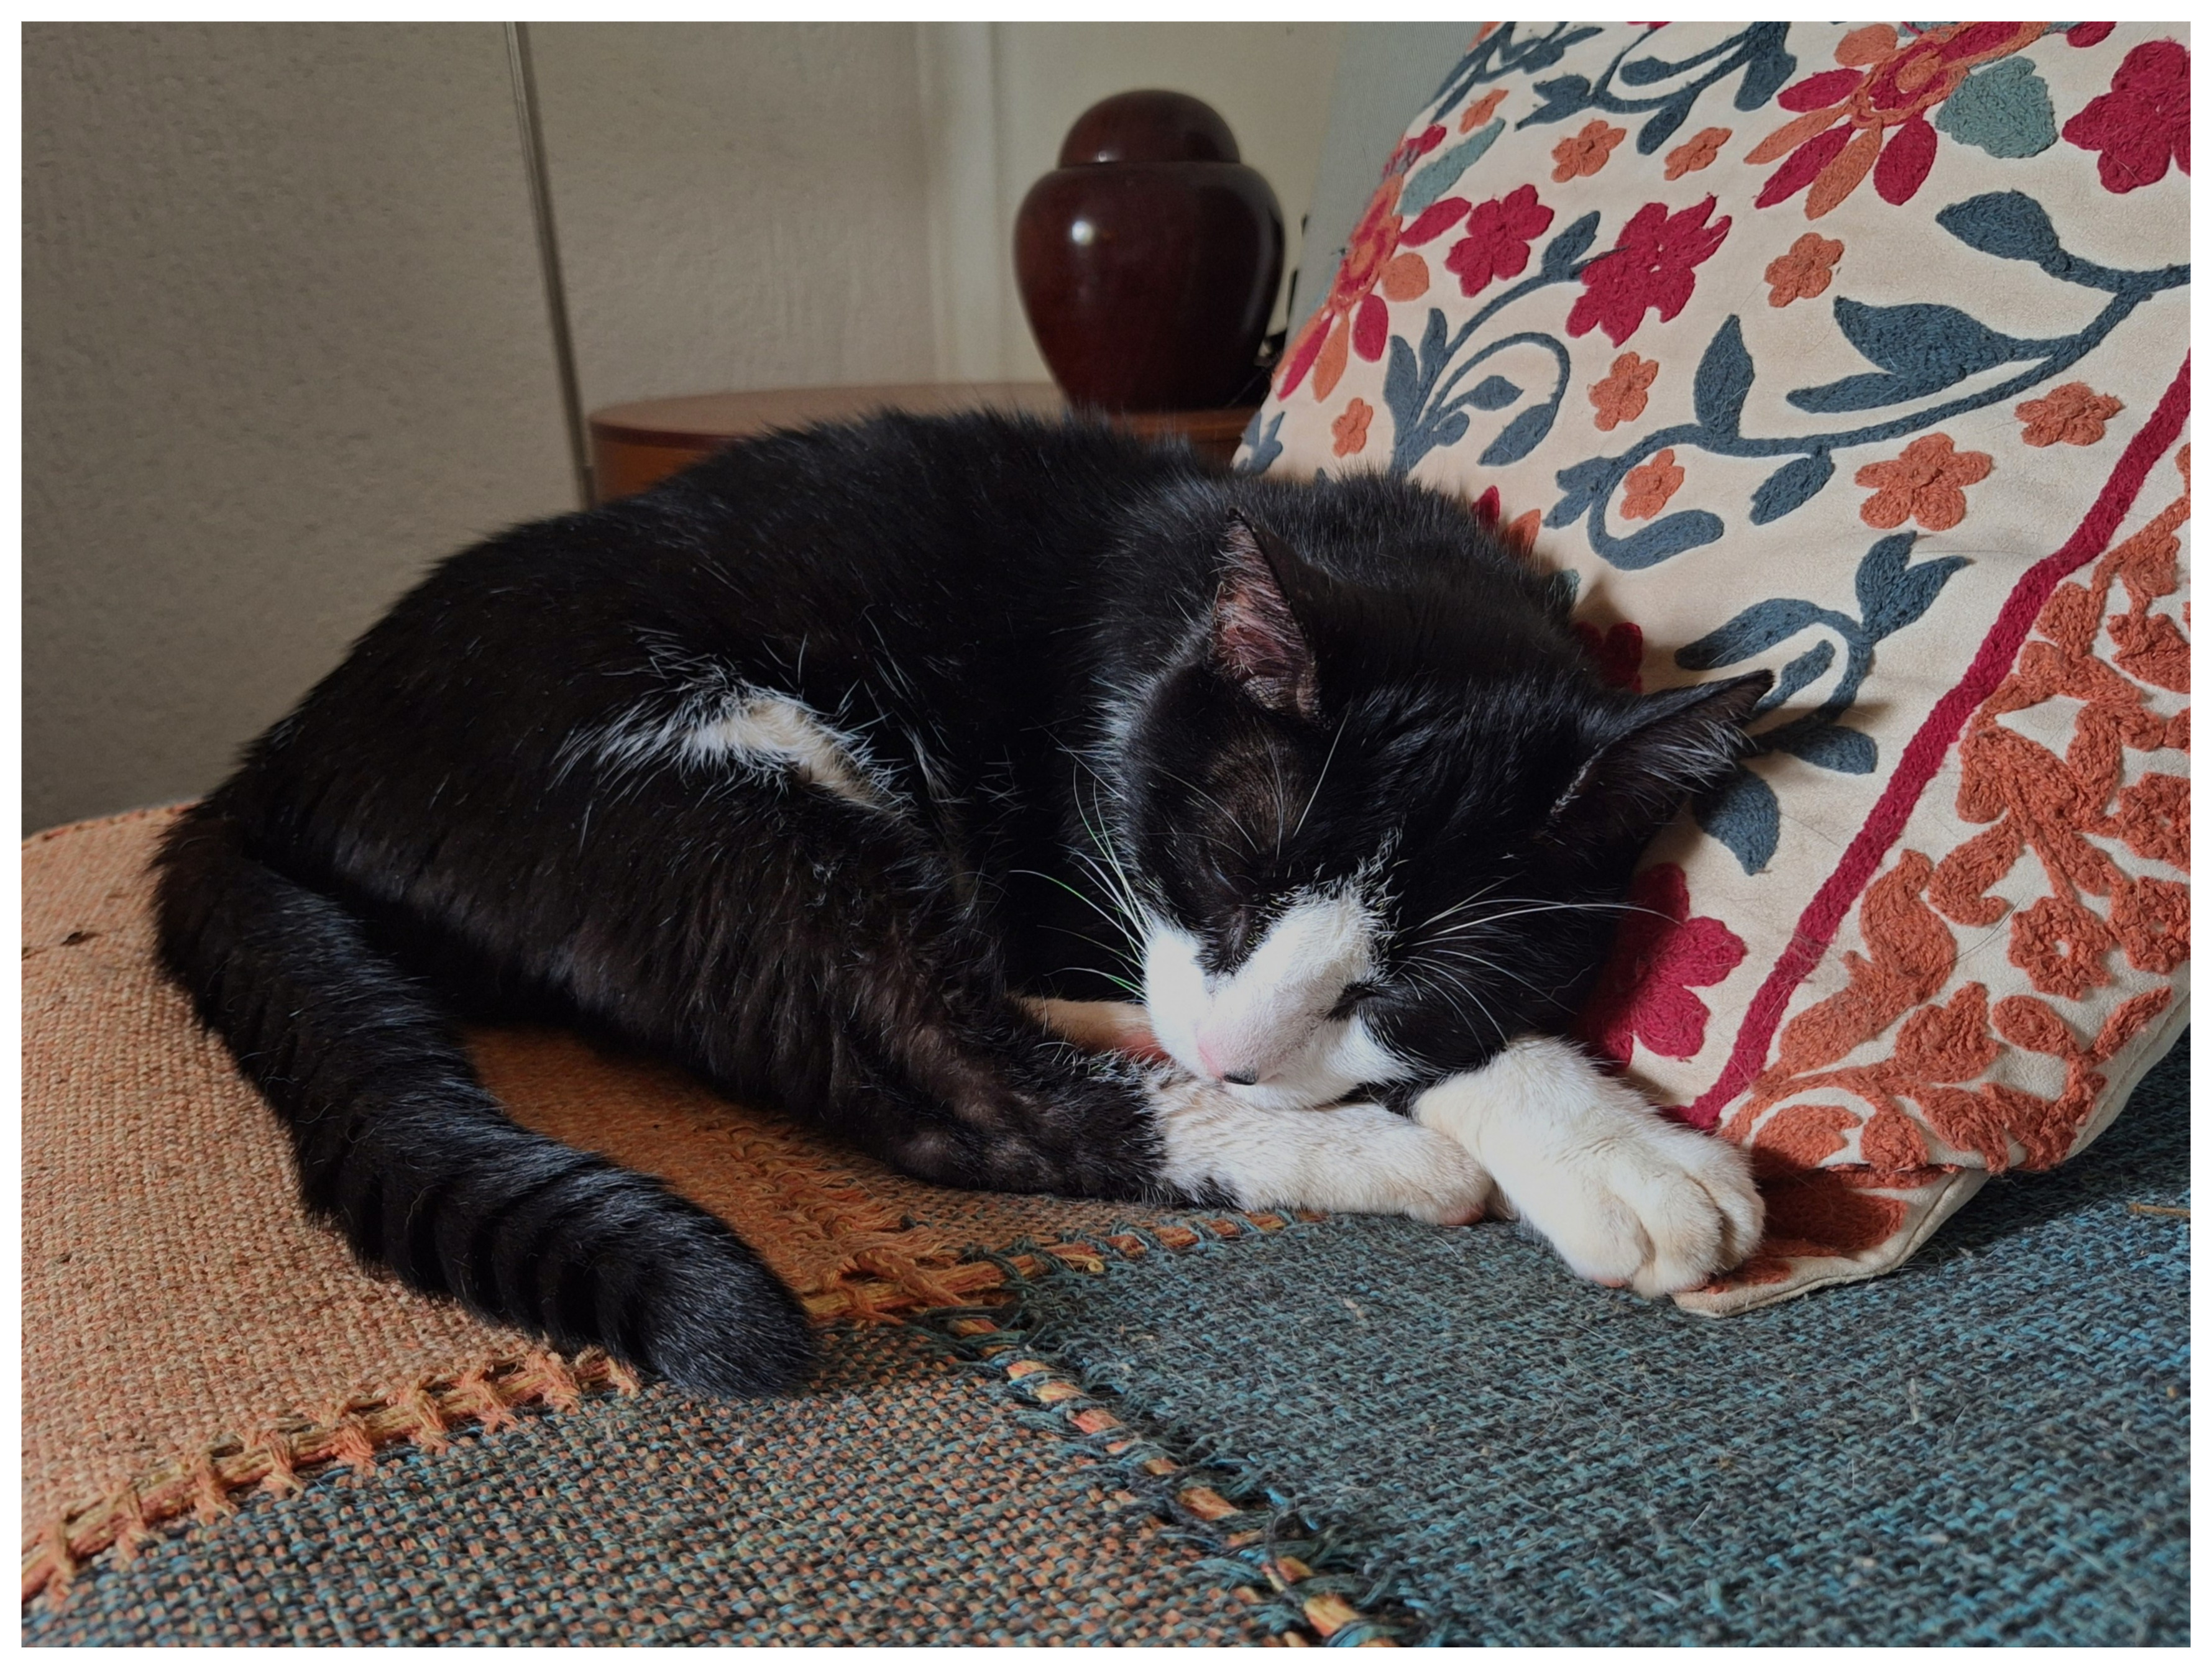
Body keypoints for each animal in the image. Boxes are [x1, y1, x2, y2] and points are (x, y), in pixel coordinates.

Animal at [155, 415, 1769, 1397]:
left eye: (1400, 978)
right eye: (1224, 870)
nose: (1235, 1057)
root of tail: (276, 757)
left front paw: (1591, 1129)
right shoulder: (1084, 858)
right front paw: (1616, 1149)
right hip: (679, 774)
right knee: (943, 1077)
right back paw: (1348, 1149)